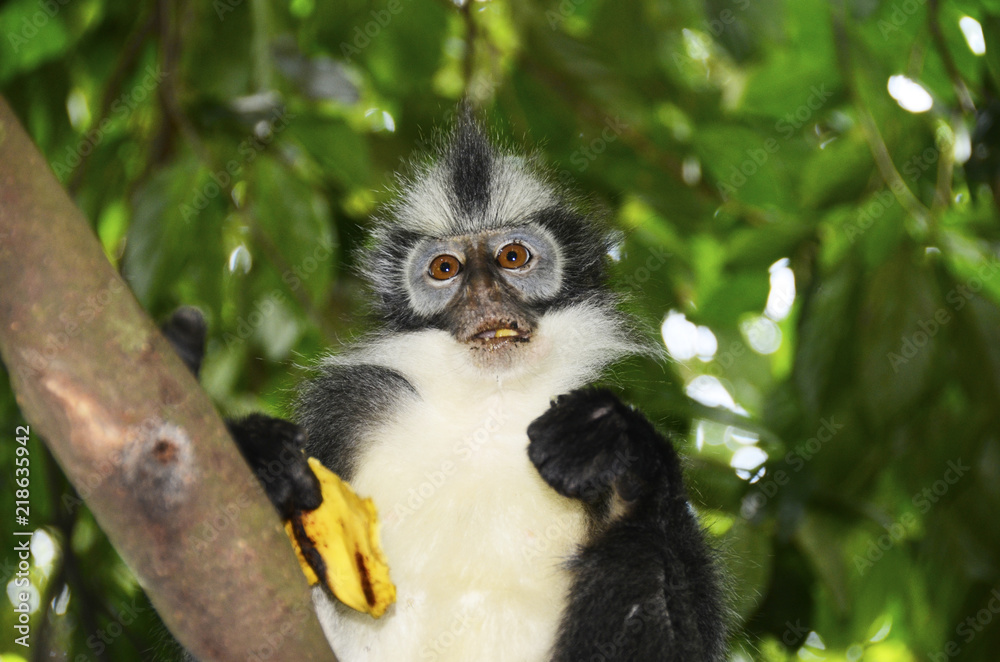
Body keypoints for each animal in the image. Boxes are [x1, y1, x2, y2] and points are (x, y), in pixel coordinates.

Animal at [165, 114, 726, 661]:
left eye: (513, 257)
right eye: (445, 269)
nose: (482, 293)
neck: (487, 408)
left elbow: (695, 636)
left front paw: (619, 444)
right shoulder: (348, 407)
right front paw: (261, 454)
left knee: (640, 554)